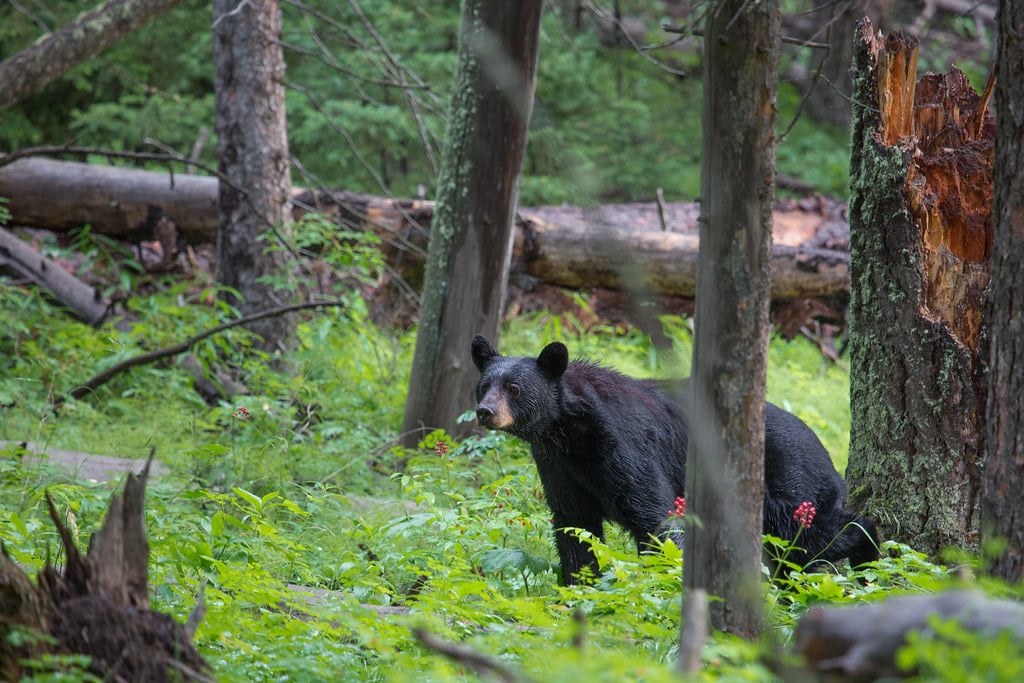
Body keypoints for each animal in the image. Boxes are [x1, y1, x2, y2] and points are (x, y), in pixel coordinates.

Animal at [470, 334, 880, 585]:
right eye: (484, 385)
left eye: (514, 387)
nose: (485, 411)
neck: (569, 428)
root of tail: (825, 451)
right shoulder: (559, 466)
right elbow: (574, 526)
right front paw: (578, 587)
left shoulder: (624, 446)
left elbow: (655, 515)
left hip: (789, 485)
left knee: (814, 536)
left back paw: (871, 558)